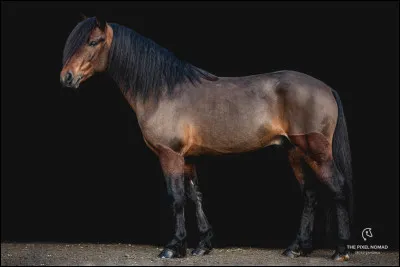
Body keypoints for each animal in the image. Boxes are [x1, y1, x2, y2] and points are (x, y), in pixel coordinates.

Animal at [59, 16, 354, 262]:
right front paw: (203, 244)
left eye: (93, 41)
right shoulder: (188, 158)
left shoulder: (170, 155)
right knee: (310, 195)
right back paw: (297, 248)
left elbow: (176, 197)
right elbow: (195, 196)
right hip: (295, 153)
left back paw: (340, 250)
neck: (163, 91)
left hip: (316, 151)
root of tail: (326, 88)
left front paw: (173, 247)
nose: (66, 77)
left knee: (338, 188)